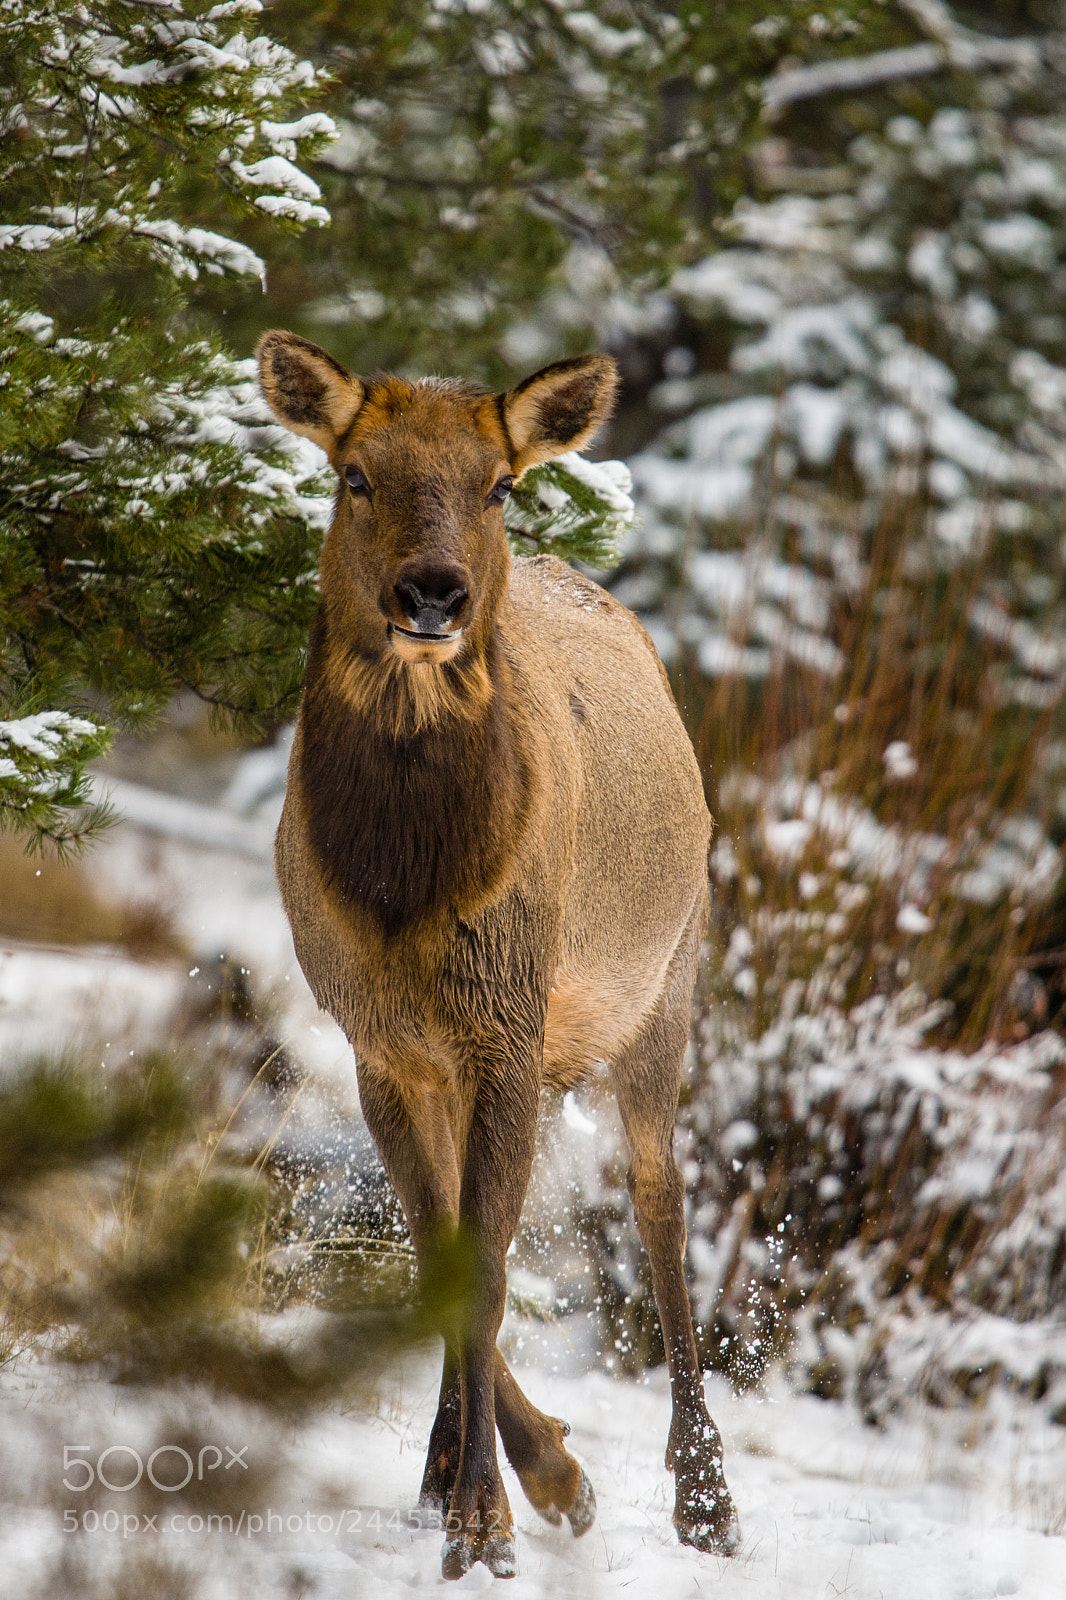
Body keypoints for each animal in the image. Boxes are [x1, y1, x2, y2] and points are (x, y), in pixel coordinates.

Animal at [256, 329, 739, 1580]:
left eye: (500, 486)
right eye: (353, 473)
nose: (432, 593)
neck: (405, 890)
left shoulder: (507, 1020)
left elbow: (489, 1263)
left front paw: (498, 1512)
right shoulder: (381, 1038)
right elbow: (443, 1257)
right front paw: (515, 1479)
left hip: (665, 980)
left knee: (661, 1198)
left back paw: (705, 1494)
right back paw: (448, 1463)